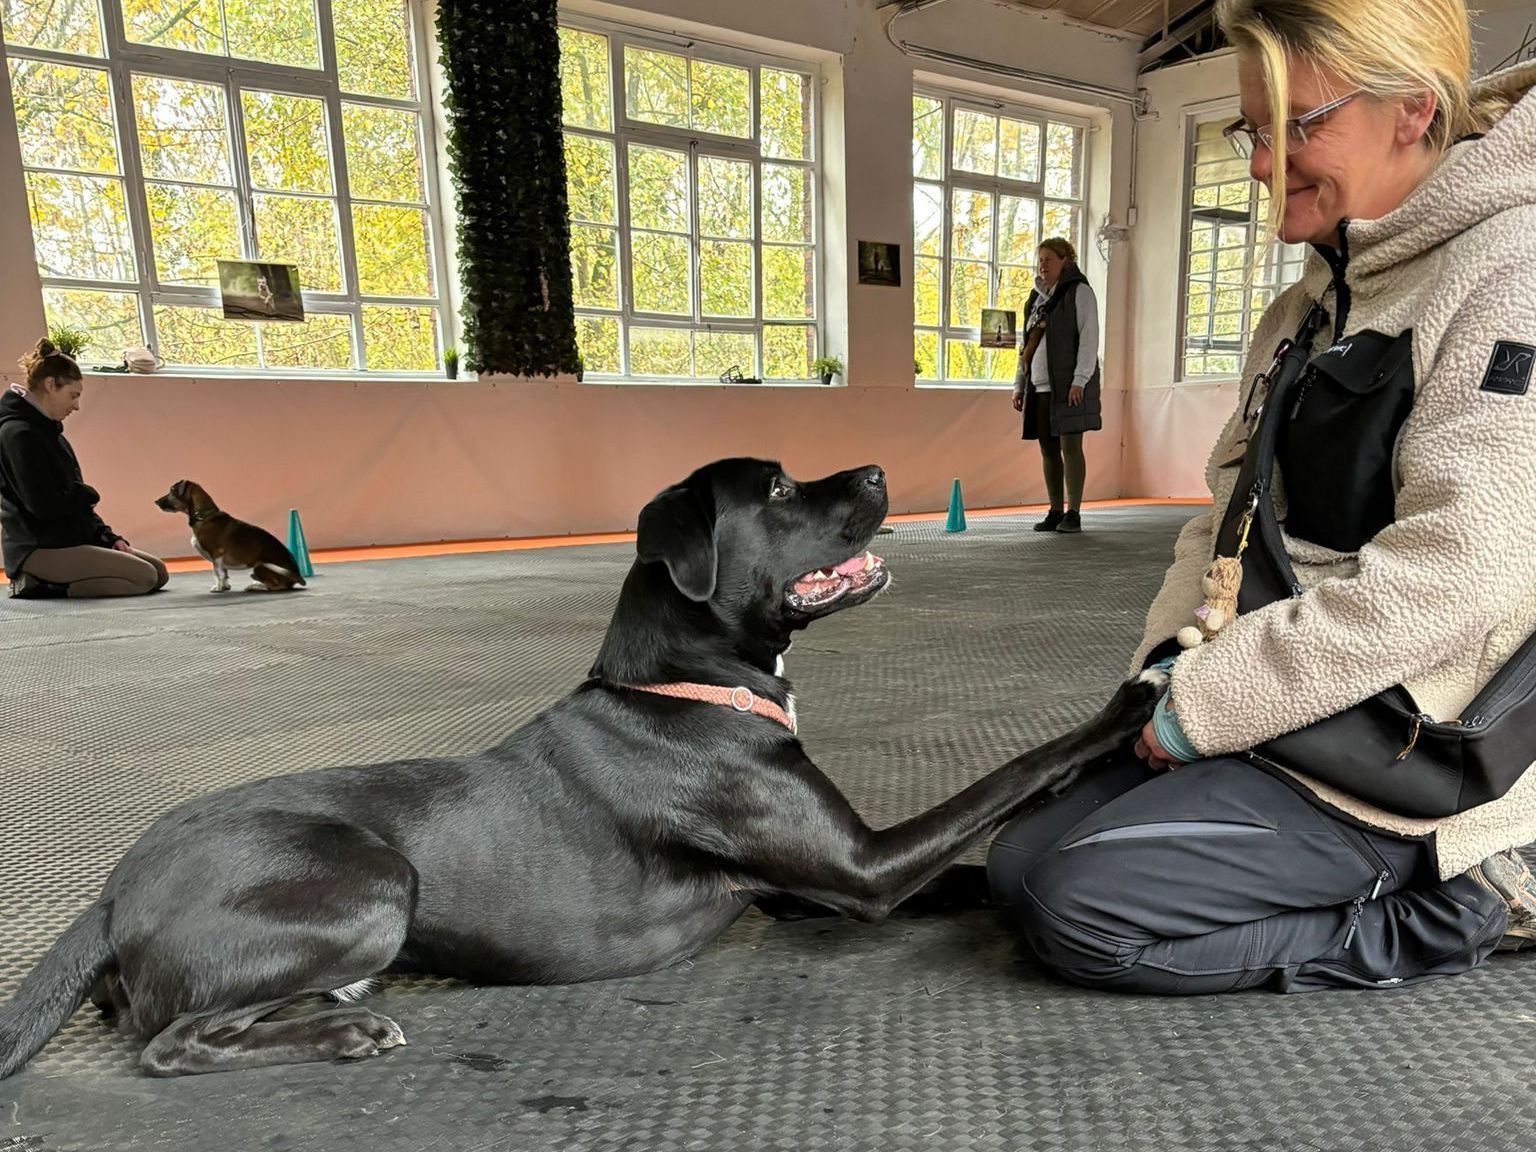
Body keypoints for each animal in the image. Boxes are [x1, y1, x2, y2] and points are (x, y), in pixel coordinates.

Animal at [154, 480, 305, 592]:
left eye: (172, 490)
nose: (155, 501)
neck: (203, 516)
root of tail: (297, 576)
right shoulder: (220, 558)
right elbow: (224, 573)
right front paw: (225, 586)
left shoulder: (216, 554)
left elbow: (217, 572)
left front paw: (218, 587)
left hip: (260, 567)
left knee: (277, 587)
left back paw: (256, 587)